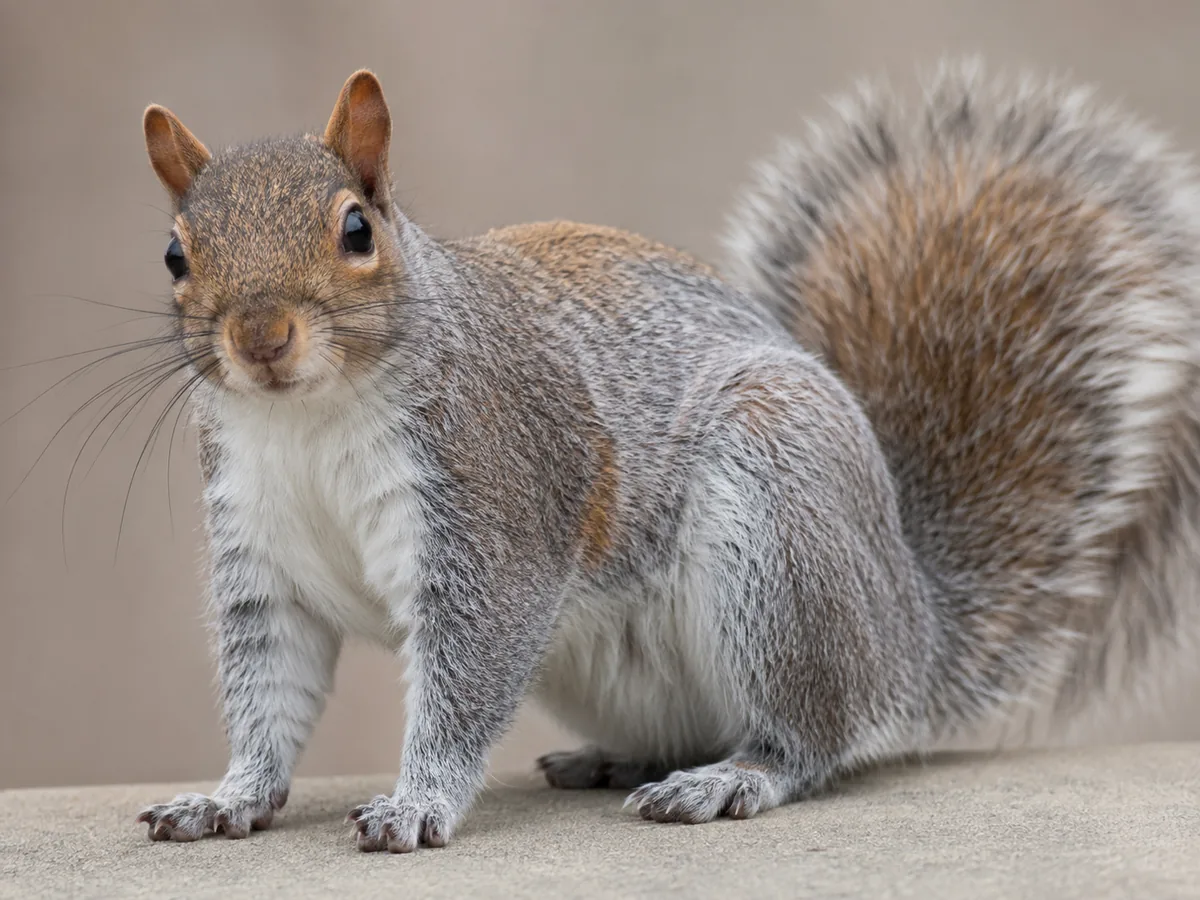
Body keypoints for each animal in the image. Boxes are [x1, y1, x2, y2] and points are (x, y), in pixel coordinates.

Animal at [134, 60, 1200, 852]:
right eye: (175, 255)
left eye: (356, 229)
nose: (261, 338)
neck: (308, 422)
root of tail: (910, 624)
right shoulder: (262, 557)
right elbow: (268, 688)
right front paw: (228, 797)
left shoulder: (494, 514)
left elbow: (465, 681)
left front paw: (417, 803)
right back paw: (618, 760)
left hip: (779, 534)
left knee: (813, 735)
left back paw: (729, 779)